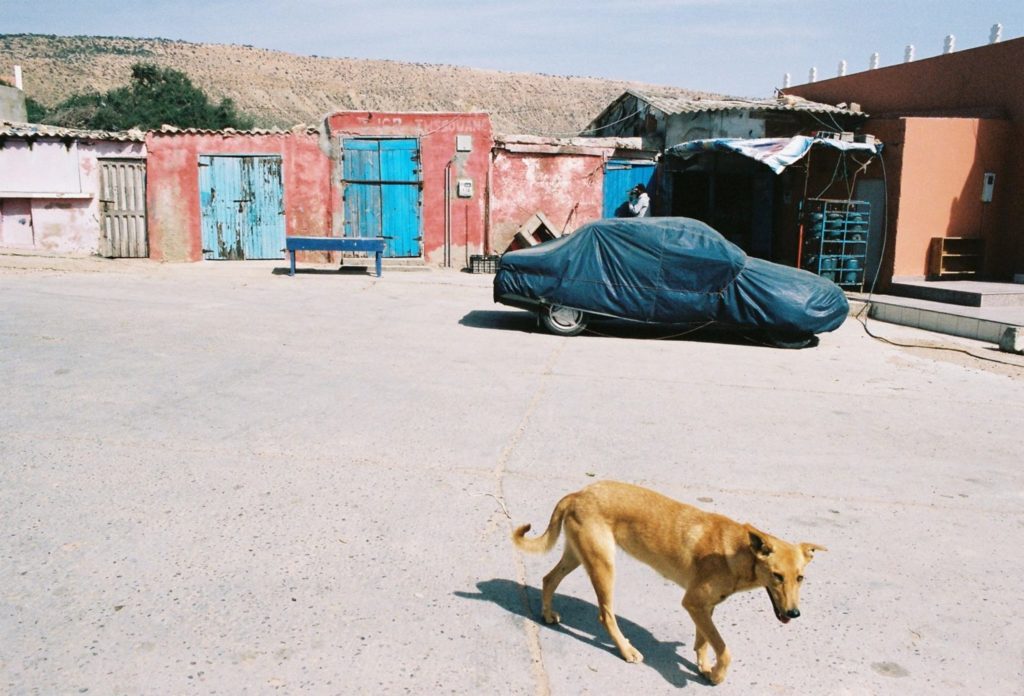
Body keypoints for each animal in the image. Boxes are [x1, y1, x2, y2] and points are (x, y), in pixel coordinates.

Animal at [512, 481, 823, 683]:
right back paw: (626, 650)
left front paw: (703, 666)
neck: (738, 552)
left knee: (548, 578)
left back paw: (547, 613)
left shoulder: (703, 606)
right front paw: (717, 675)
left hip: (578, 556)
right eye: (777, 576)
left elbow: (704, 641)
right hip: (603, 566)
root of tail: (578, 493)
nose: (795, 613)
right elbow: (724, 649)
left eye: (800, 578)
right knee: (605, 615)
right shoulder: (693, 602)